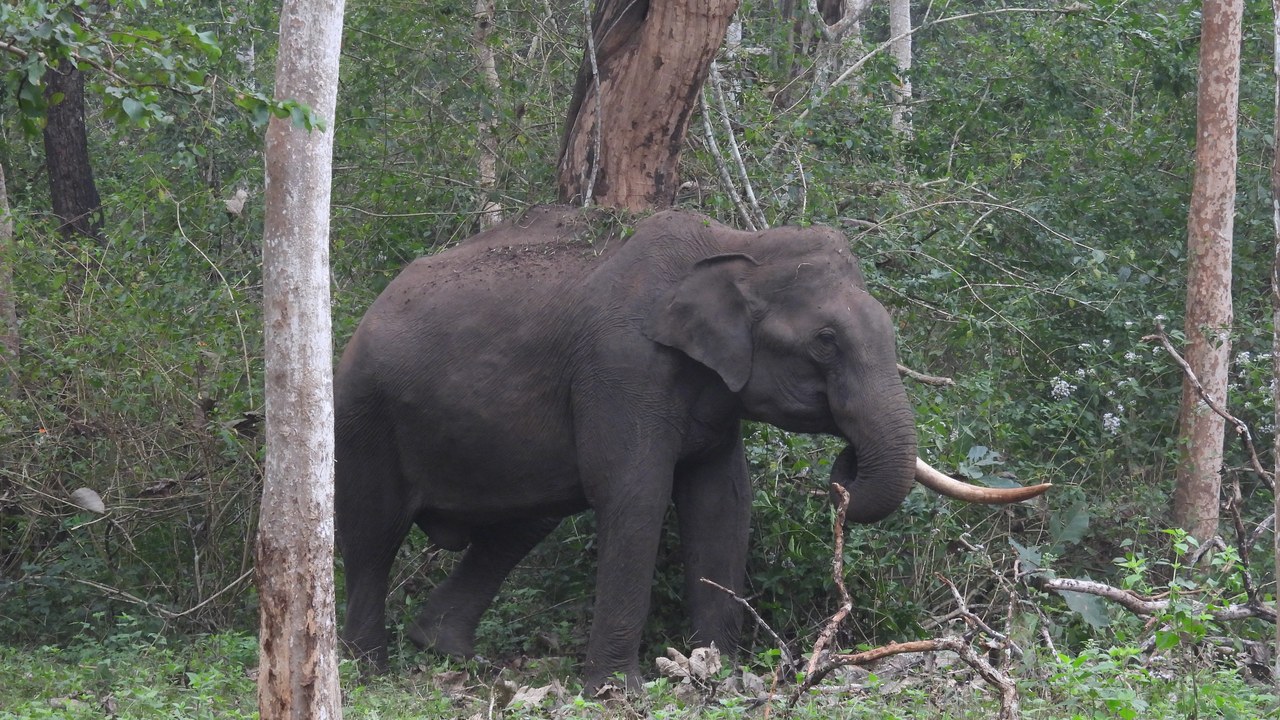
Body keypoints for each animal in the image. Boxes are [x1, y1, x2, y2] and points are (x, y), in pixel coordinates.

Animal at [334, 206, 1047, 690]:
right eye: (824, 341)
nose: (844, 466)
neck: (737, 246)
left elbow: (721, 502)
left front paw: (720, 677)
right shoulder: (622, 366)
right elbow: (635, 494)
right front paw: (617, 692)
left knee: (527, 520)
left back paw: (446, 651)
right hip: (363, 414)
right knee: (373, 533)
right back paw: (369, 670)